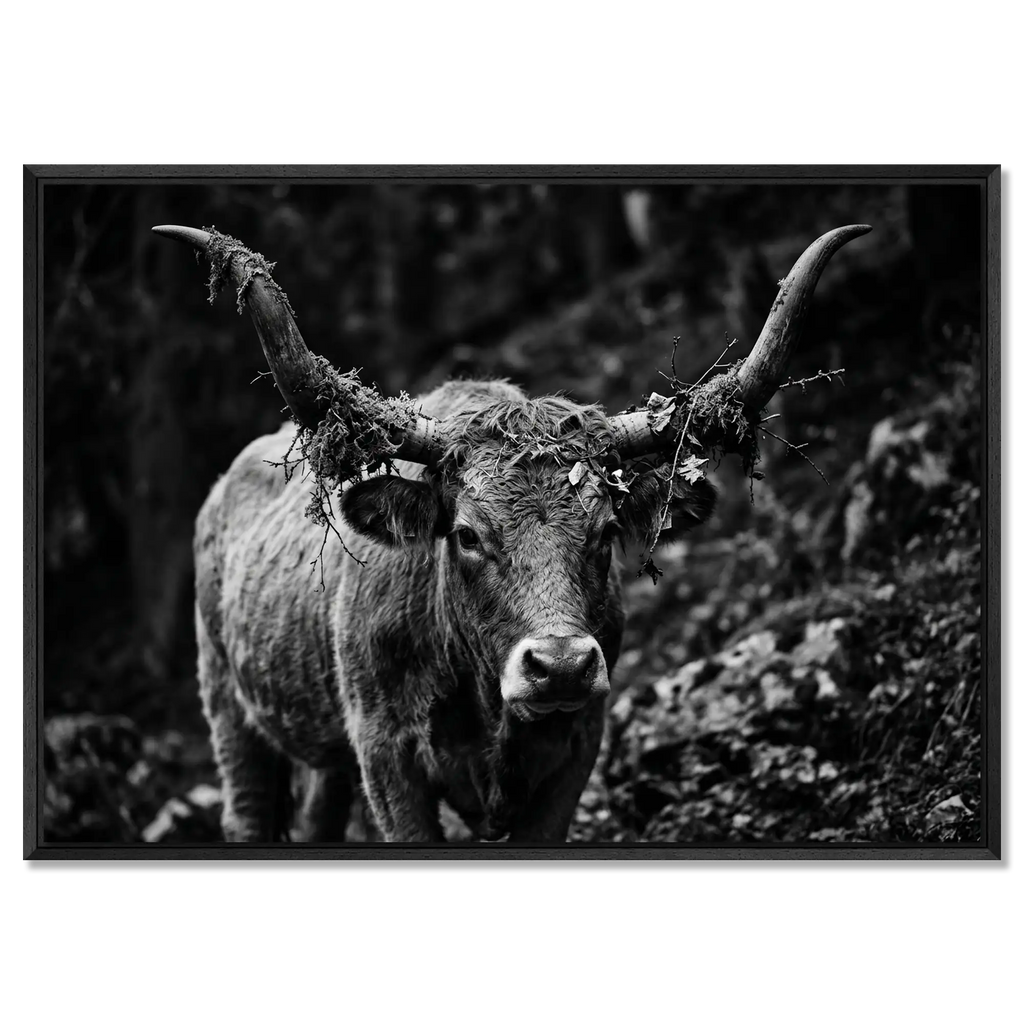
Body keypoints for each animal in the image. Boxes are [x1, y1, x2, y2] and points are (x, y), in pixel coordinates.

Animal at [153, 220, 870, 843]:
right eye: (467, 535)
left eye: (607, 531)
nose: (560, 666)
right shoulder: (387, 758)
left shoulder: (576, 749)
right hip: (231, 715)